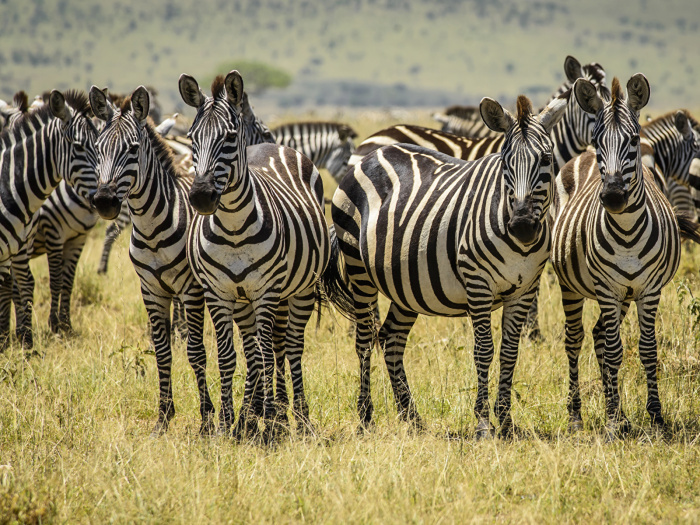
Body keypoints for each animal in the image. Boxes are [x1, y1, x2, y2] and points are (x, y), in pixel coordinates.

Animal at [0, 89, 98, 348]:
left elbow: (65, 281)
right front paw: (53, 326)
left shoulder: (76, 239)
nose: (108, 199)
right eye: (79, 147)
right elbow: (54, 280)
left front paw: (64, 326)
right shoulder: (54, 233)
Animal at [91, 84, 216, 434]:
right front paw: (164, 416)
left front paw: (206, 418)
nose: (104, 202)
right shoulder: (151, 290)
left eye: (132, 149)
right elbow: (162, 351)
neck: (152, 227)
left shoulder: (191, 289)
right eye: (97, 148)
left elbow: (196, 352)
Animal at [180, 70, 352, 438]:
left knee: (290, 347)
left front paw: (270, 420)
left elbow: (267, 355)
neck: (232, 228)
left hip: (299, 290)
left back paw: (296, 416)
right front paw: (229, 422)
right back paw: (252, 415)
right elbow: (230, 357)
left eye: (230, 138)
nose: (201, 197)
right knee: (259, 348)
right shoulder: (218, 293)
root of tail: (273, 147)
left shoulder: (266, 291)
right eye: (190, 138)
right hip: (245, 300)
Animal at [330, 93, 568, 434]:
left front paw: (506, 421)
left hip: (406, 283)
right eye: (505, 162)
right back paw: (365, 418)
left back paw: (411, 416)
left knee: (390, 338)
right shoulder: (478, 283)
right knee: (364, 340)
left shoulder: (525, 289)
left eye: (547, 159)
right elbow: (484, 350)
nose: (522, 226)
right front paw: (483, 422)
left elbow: (510, 351)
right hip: (358, 268)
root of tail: (371, 153)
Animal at [548, 72, 696, 434]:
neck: (627, 230)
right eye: (599, 141)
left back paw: (618, 412)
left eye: (633, 140)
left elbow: (647, 349)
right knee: (576, 339)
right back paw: (578, 415)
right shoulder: (606, 288)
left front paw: (654, 415)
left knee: (599, 334)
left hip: (625, 294)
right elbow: (615, 351)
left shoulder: (648, 289)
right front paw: (614, 423)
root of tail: (580, 155)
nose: (613, 196)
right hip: (573, 285)